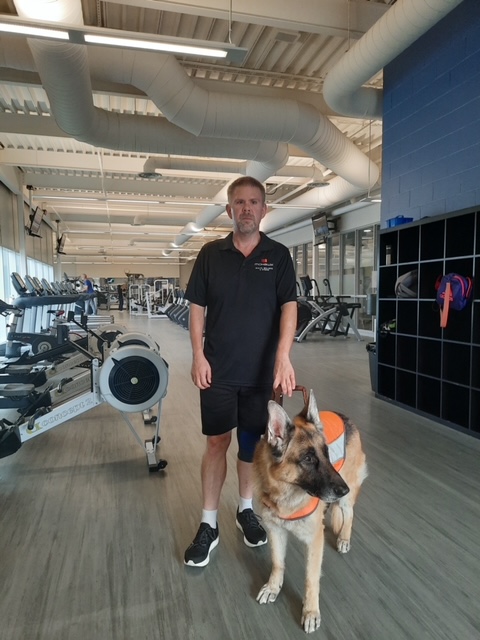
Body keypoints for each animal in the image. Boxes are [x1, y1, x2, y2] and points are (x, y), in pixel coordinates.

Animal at [251, 388, 368, 632]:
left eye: (327, 454)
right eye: (308, 458)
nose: (343, 489)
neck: (286, 492)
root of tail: (342, 415)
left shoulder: (315, 540)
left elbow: (311, 578)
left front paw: (311, 611)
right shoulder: (276, 531)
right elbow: (278, 563)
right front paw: (273, 587)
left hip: (347, 495)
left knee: (349, 513)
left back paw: (344, 537)